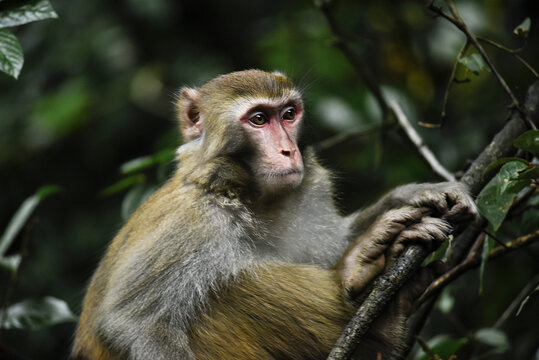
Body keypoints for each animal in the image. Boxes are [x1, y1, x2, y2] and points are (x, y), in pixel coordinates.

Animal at [73, 69, 476, 358]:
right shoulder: (191, 222)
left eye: (288, 114)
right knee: (230, 283)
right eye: (258, 119)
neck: (251, 196)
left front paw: (415, 194)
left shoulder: (309, 192)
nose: (288, 151)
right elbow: (133, 323)